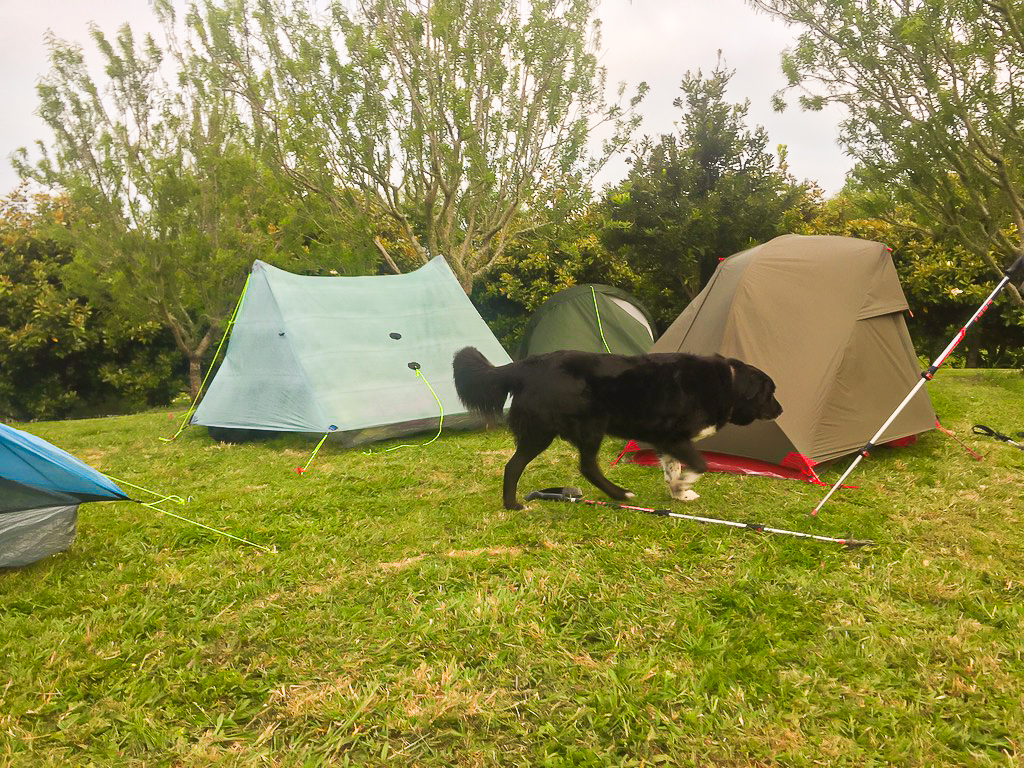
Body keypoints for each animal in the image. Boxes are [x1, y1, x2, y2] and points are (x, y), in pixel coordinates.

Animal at [452, 348, 778, 512]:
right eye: (770, 392)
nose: (781, 410)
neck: (729, 382)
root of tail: (524, 366)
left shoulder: (666, 441)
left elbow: (672, 469)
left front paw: (678, 493)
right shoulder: (674, 436)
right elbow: (701, 465)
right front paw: (683, 486)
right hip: (568, 429)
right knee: (565, 466)